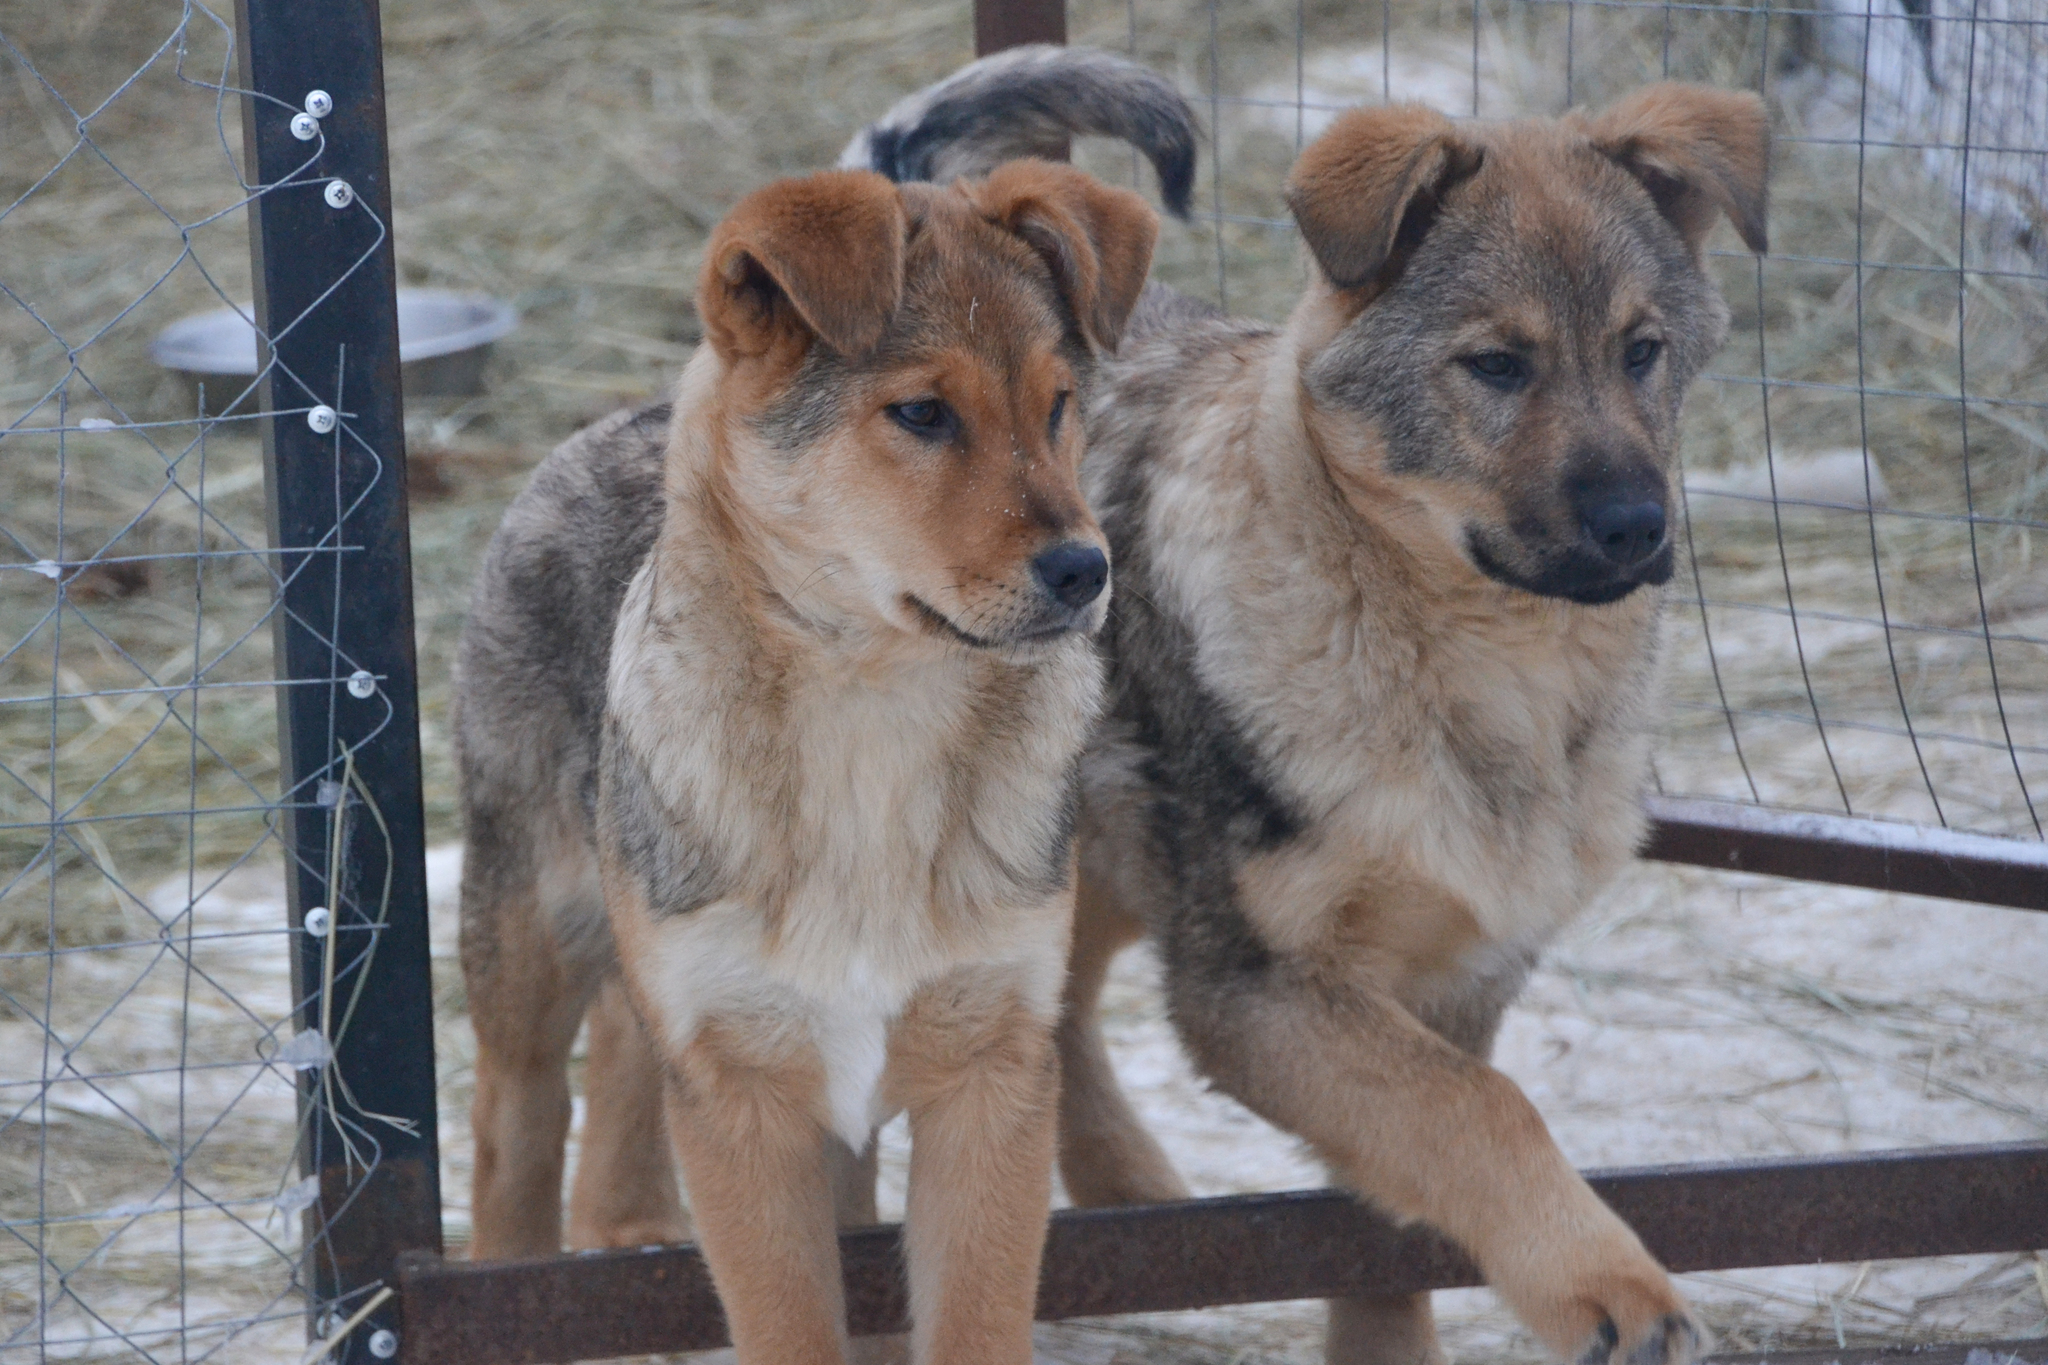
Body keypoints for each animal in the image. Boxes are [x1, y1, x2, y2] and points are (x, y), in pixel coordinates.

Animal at [458, 157, 1163, 1358]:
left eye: (1059, 405)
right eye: (921, 413)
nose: (1085, 569)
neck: (872, 724)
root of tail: (610, 418)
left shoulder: (990, 1076)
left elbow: (974, 1321)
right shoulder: (745, 1100)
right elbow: (788, 1325)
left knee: (628, 1040)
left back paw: (626, 1219)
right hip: (530, 931)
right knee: (516, 1123)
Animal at [851, 58, 1777, 1358]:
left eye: (1640, 350)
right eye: (1497, 366)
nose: (1637, 529)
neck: (1474, 684)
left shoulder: (1448, 979)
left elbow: (1394, 1212)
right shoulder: (1255, 989)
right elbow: (1485, 1114)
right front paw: (1608, 1284)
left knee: (1062, 1019)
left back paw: (1129, 1193)